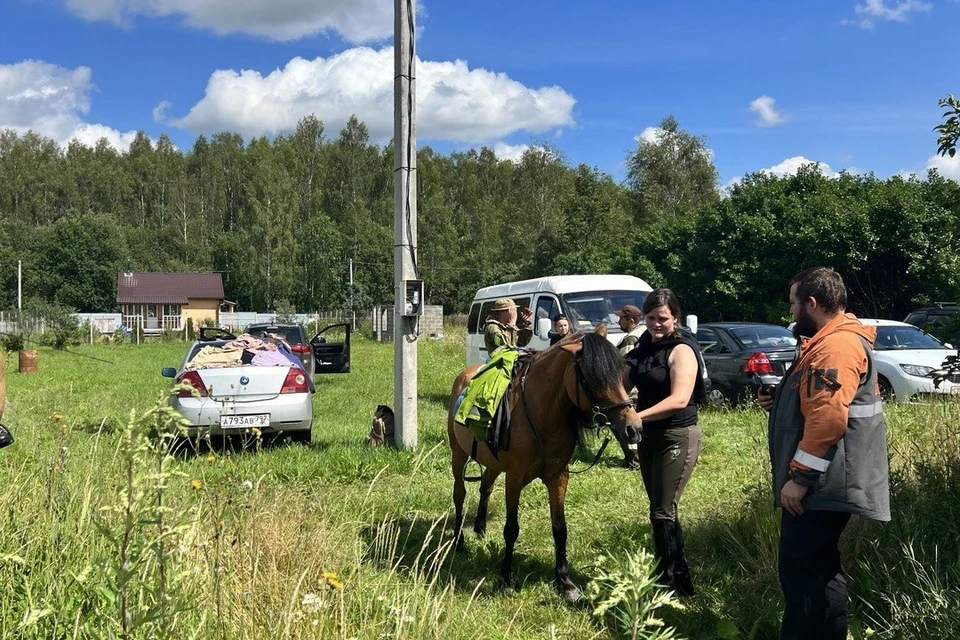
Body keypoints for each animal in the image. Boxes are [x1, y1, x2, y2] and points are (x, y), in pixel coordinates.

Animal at [446, 328, 640, 604]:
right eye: (593, 377)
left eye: (621, 372)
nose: (634, 427)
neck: (540, 414)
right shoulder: (514, 478)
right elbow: (511, 529)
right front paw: (506, 578)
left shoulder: (558, 477)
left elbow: (560, 528)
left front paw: (564, 582)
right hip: (459, 455)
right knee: (460, 495)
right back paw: (459, 540)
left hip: (493, 463)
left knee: (485, 488)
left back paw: (480, 528)